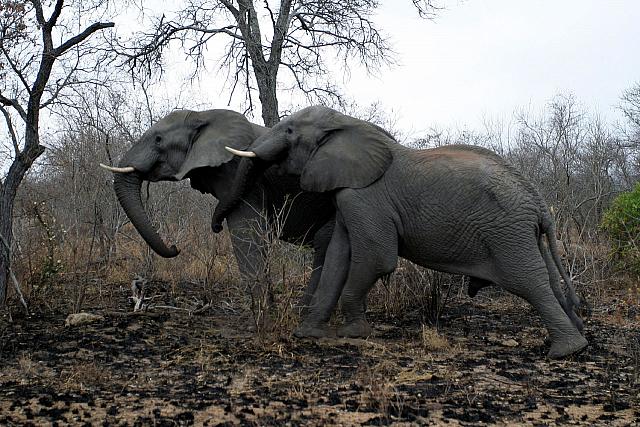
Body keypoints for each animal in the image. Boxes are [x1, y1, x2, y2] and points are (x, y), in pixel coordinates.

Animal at [99, 109, 335, 322]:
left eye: (158, 139)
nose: (175, 247)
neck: (203, 116)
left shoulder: (236, 174)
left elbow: (245, 230)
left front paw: (262, 318)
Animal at [211, 105, 588, 359]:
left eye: (289, 131)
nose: (215, 226)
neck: (349, 123)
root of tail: (538, 201)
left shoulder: (365, 198)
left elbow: (376, 258)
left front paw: (353, 333)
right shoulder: (349, 196)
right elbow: (338, 258)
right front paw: (309, 334)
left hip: (507, 231)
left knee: (527, 281)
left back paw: (565, 351)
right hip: (524, 234)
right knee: (549, 279)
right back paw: (575, 339)